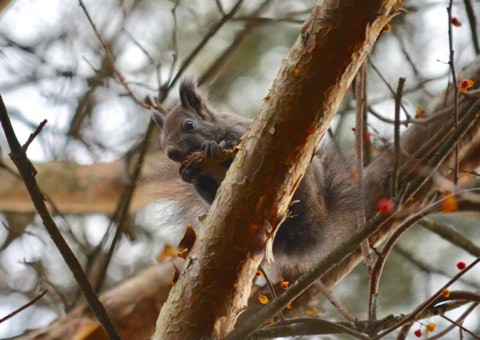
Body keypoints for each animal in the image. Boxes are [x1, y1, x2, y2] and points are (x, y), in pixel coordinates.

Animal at [153, 79, 360, 278]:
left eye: (189, 125)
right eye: (162, 140)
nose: (171, 152)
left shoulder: (241, 135)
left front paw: (212, 147)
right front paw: (189, 175)